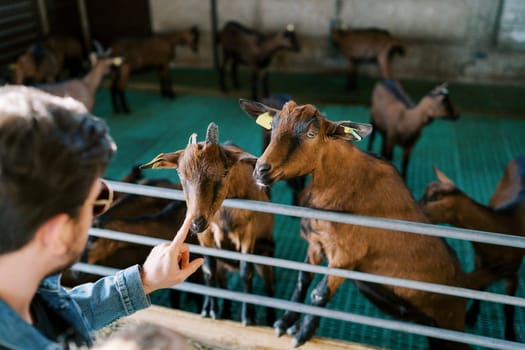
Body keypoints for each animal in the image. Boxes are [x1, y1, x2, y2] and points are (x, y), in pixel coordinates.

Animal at [141, 123, 276, 326]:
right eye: (180, 173)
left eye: (224, 172)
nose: (196, 222)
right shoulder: (206, 236)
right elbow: (209, 270)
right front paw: (209, 310)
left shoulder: (248, 234)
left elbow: (246, 272)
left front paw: (247, 317)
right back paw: (225, 311)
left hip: (266, 255)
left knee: (269, 287)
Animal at [239, 98, 498, 350]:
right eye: (272, 128)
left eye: (311, 134)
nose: (261, 170)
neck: (339, 184)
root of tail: (464, 280)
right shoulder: (316, 245)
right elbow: (303, 280)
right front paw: (284, 323)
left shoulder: (346, 256)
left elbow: (319, 294)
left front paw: (302, 332)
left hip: (450, 320)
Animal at [418, 162, 524, 342]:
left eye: (432, 198)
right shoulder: (478, 259)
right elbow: (479, 288)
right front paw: (471, 315)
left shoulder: (513, 271)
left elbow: (508, 306)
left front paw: (510, 335)